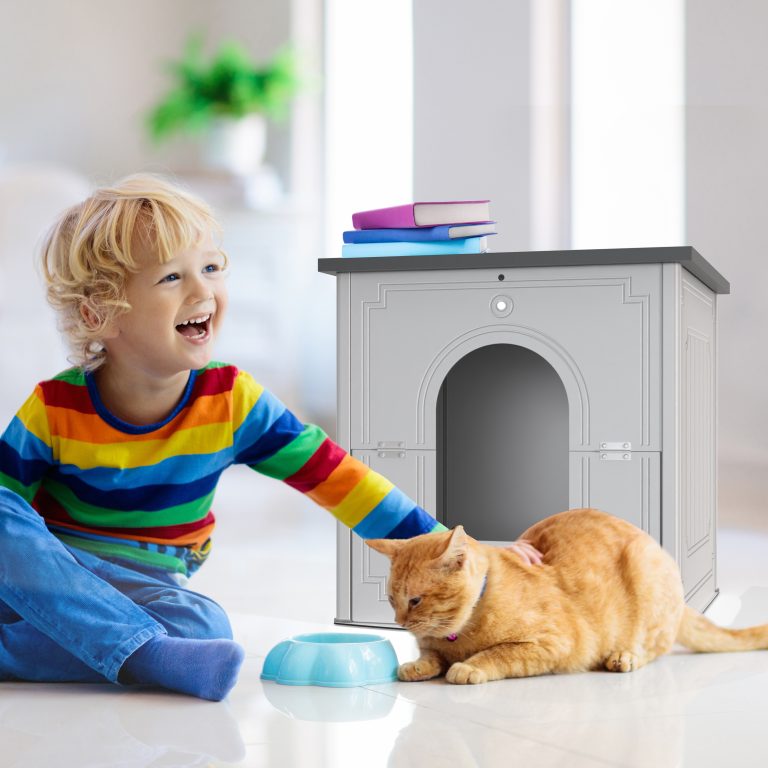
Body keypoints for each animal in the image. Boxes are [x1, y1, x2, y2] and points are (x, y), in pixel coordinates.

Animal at [366, 510, 768, 684]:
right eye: (392, 599)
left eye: (415, 600)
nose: (400, 622)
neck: (460, 633)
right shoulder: (434, 645)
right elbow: (430, 656)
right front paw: (418, 665)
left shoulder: (554, 642)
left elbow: (499, 653)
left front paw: (469, 666)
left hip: (646, 571)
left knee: (653, 647)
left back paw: (623, 657)